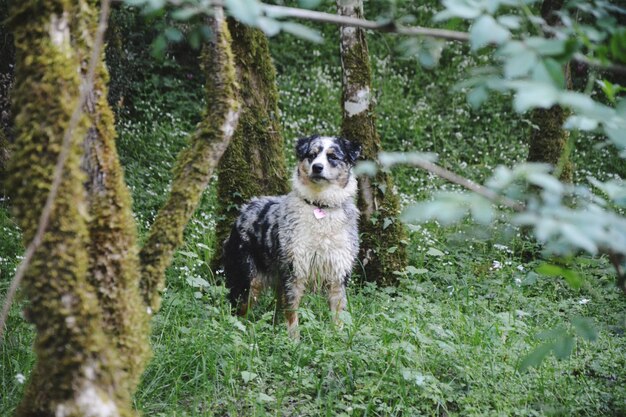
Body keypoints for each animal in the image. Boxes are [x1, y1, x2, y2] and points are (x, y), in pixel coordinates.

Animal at [221, 135, 358, 336]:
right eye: (312, 155)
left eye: (333, 156)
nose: (317, 167)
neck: (320, 206)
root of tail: (246, 208)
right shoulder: (295, 270)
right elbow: (292, 313)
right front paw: (294, 340)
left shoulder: (337, 273)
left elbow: (338, 314)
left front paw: (338, 337)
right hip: (248, 280)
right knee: (239, 312)